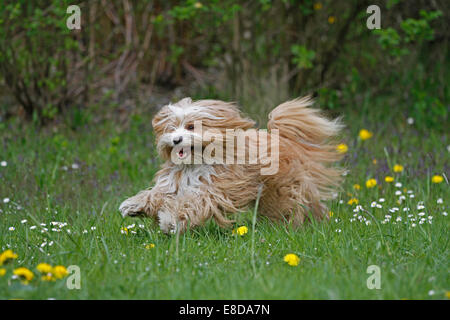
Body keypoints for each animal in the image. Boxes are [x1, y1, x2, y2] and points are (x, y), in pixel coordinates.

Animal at [118, 96, 342, 234]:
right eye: (171, 128)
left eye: (191, 126)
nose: (175, 140)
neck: (194, 164)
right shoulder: (175, 183)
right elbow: (157, 194)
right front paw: (134, 205)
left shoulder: (211, 190)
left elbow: (188, 204)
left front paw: (170, 221)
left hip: (282, 191)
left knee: (299, 206)